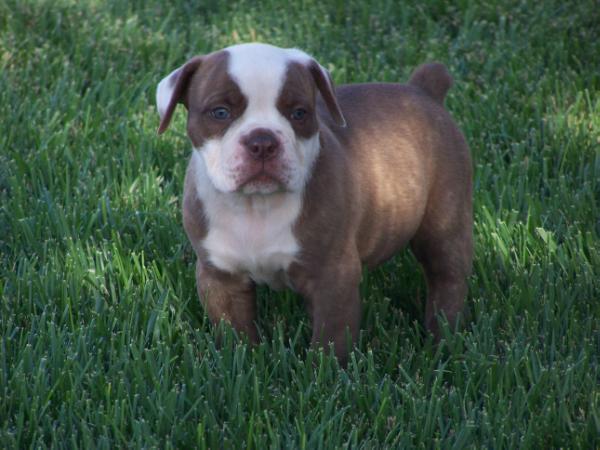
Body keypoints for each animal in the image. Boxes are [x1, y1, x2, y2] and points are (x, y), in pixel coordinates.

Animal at [156, 43, 474, 366]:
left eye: (299, 113)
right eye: (220, 112)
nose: (262, 141)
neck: (257, 205)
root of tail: (423, 90)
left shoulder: (332, 278)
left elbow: (331, 337)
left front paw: (327, 371)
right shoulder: (221, 277)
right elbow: (236, 331)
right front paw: (242, 361)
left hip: (444, 222)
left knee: (446, 276)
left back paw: (442, 339)